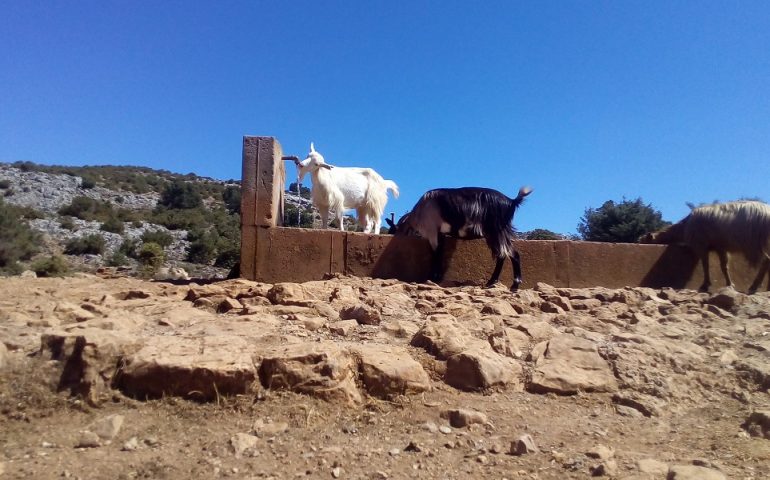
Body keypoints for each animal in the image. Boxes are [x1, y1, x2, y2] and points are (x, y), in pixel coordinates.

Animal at [388, 186, 532, 290]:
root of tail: (511, 201)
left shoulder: (432, 231)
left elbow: (436, 253)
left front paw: (432, 277)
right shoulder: (440, 234)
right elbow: (440, 252)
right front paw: (437, 277)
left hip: (496, 231)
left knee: (509, 254)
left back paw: (513, 285)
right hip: (496, 233)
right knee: (505, 254)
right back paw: (493, 282)